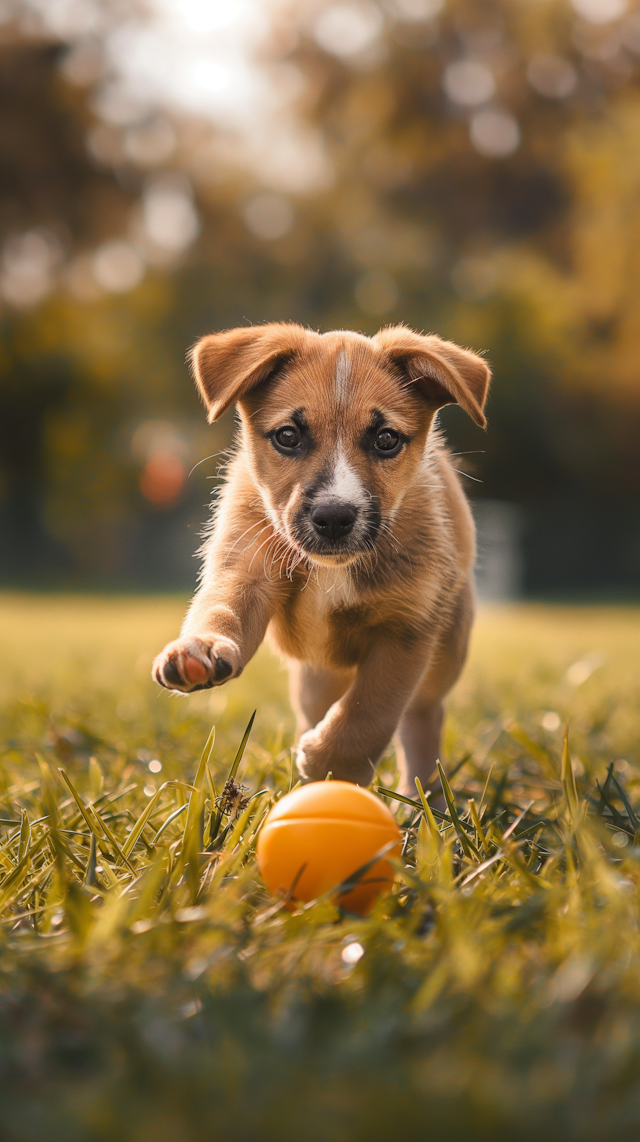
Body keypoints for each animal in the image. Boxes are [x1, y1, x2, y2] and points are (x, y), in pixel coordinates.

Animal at [150, 324, 489, 794]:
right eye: (288, 436)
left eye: (386, 440)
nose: (333, 517)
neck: (333, 570)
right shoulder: (245, 571)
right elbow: (223, 610)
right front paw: (199, 647)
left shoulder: (407, 629)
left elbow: (370, 711)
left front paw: (331, 764)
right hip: (315, 677)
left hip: (445, 652)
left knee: (422, 718)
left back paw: (424, 801)